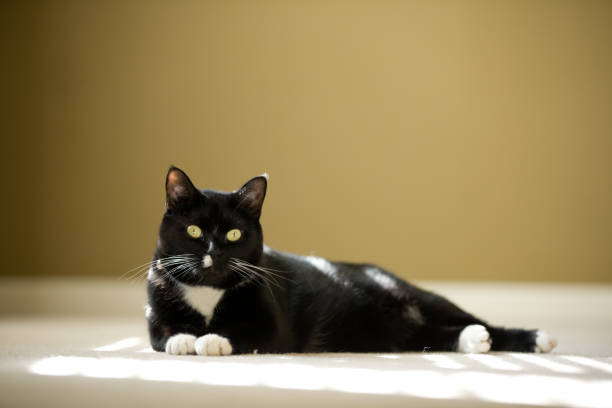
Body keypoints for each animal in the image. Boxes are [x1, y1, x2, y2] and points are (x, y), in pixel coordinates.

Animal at [146, 167, 556, 356]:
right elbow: (163, 335)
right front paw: (183, 340)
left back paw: (535, 338)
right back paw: (473, 340)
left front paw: (212, 340)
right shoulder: (156, 306)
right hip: (401, 332)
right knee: (431, 337)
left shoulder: (271, 326)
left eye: (233, 235)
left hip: (419, 296)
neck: (208, 291)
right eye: (194, 231)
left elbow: (245, 333)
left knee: (473, 320)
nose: (214, 253)